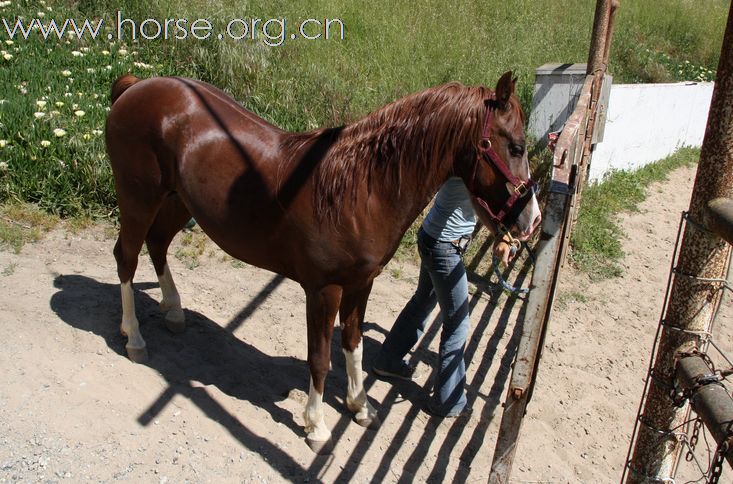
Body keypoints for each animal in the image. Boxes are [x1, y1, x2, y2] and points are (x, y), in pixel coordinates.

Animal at [107, 72, 544, 454]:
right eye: (516, 147)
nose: (533, 220)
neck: (360, 189)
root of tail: (137, 86)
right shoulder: (323, 290)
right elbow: (319, 357)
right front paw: (316, 425)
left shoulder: (362, 284)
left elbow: (353, 345)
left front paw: (359, 406)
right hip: (139, 198)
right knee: (126, 258)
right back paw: (134, 338)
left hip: (177, 200)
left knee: (157, 245)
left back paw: (173, 311)